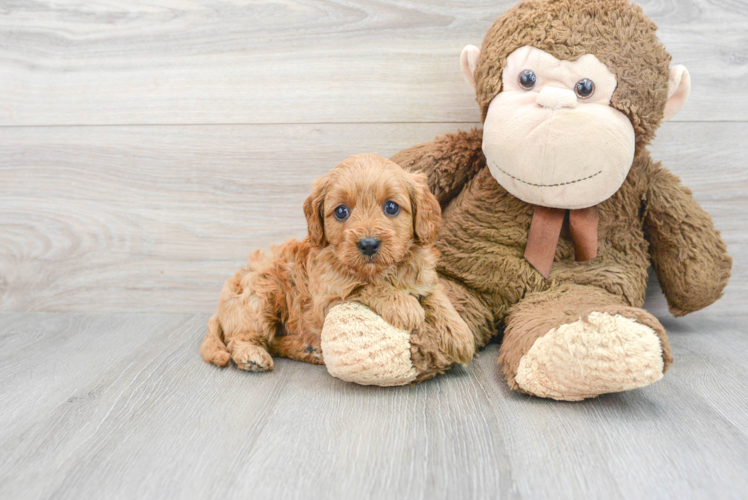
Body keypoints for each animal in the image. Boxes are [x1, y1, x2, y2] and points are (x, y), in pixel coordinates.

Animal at [200, 154, 474, 380]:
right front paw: (404, 305)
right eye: (341, 211)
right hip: (261, 295)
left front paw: (461, 335)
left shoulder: (424, 278)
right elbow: (363, 287)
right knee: (241, 338)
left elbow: (438, 298)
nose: (368, 244)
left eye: (391, 207)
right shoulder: (327, 298)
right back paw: (252, 356)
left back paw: (308, 349)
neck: (382, 271)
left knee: (275, 341)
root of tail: (221, 306)